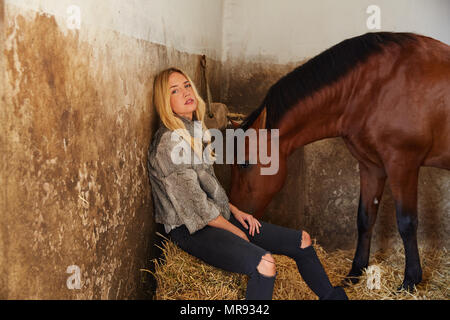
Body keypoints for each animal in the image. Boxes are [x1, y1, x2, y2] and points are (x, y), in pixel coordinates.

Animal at [229, 31, 450, 290]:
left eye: (244, 163)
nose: (234, 218)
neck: (375, 88)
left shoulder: (403, 165)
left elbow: (406, 223)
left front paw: (410, 280)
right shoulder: (372, 167)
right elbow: (365, 219)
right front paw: (355, 273)